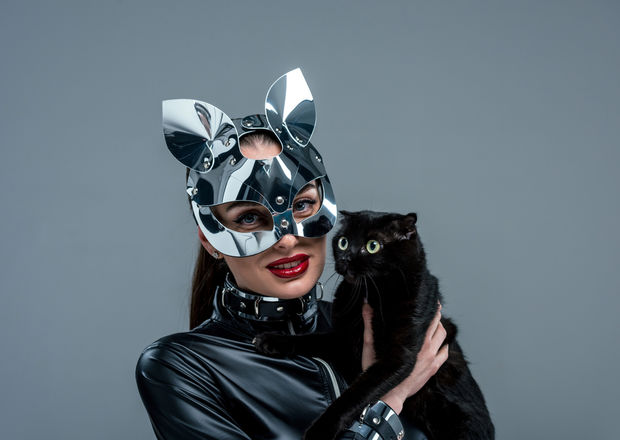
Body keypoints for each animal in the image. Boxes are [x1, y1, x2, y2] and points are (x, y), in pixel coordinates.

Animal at [254, 210, 494, 440]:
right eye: (343, 242)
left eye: (372, 246)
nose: (347, 258)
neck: (370, 293)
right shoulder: (343, 341)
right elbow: (311, 339)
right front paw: (271, 340)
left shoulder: (398, 356)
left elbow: (355, 395)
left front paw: (321, 430)